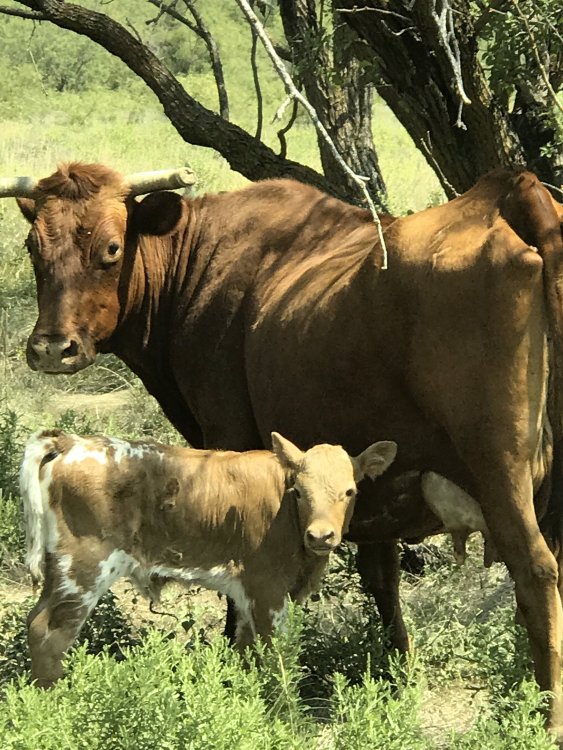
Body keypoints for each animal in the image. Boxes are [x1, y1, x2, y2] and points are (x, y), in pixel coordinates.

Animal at [20, 428, 397, 686]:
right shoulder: (267, 590)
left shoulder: (246, 594)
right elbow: (276, 655)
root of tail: (71, 443)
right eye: (300, 492)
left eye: (350, 491)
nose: (320, 536)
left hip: (61, 574)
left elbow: (246, 650)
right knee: (49, 634)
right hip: (83, 571)